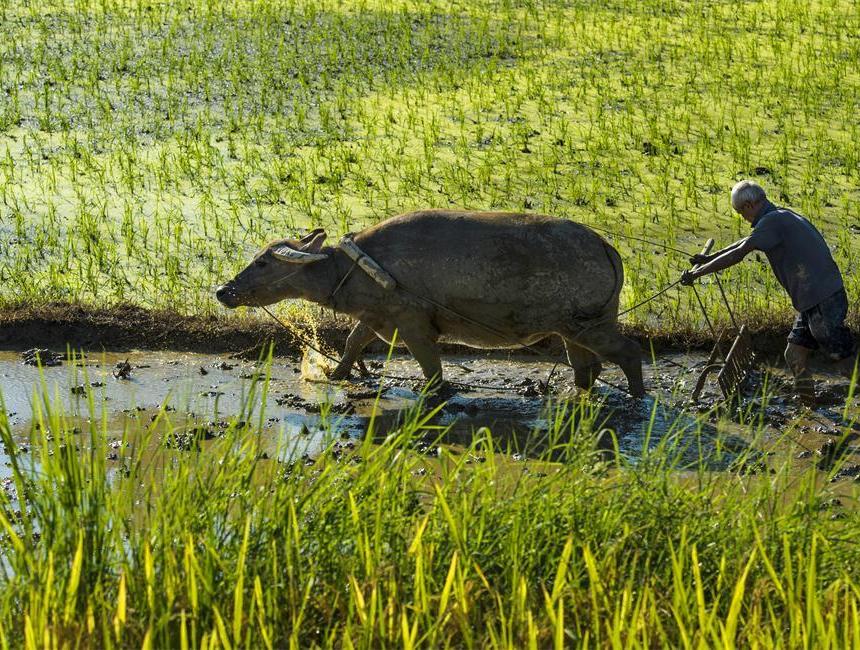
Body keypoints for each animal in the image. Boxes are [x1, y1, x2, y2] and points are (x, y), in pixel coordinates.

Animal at [215, 213, 644, 394]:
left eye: (263, 261)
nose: (222, 291)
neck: (350, 268)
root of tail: (607, 248)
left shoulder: (413, 326)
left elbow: (431, 367)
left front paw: (436, 392)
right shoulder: (375, 316)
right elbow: (352, 342)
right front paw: (337, 374)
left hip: (589, 324)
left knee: (629, 352)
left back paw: (637, 397)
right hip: (573, 329)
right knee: (587, 367)